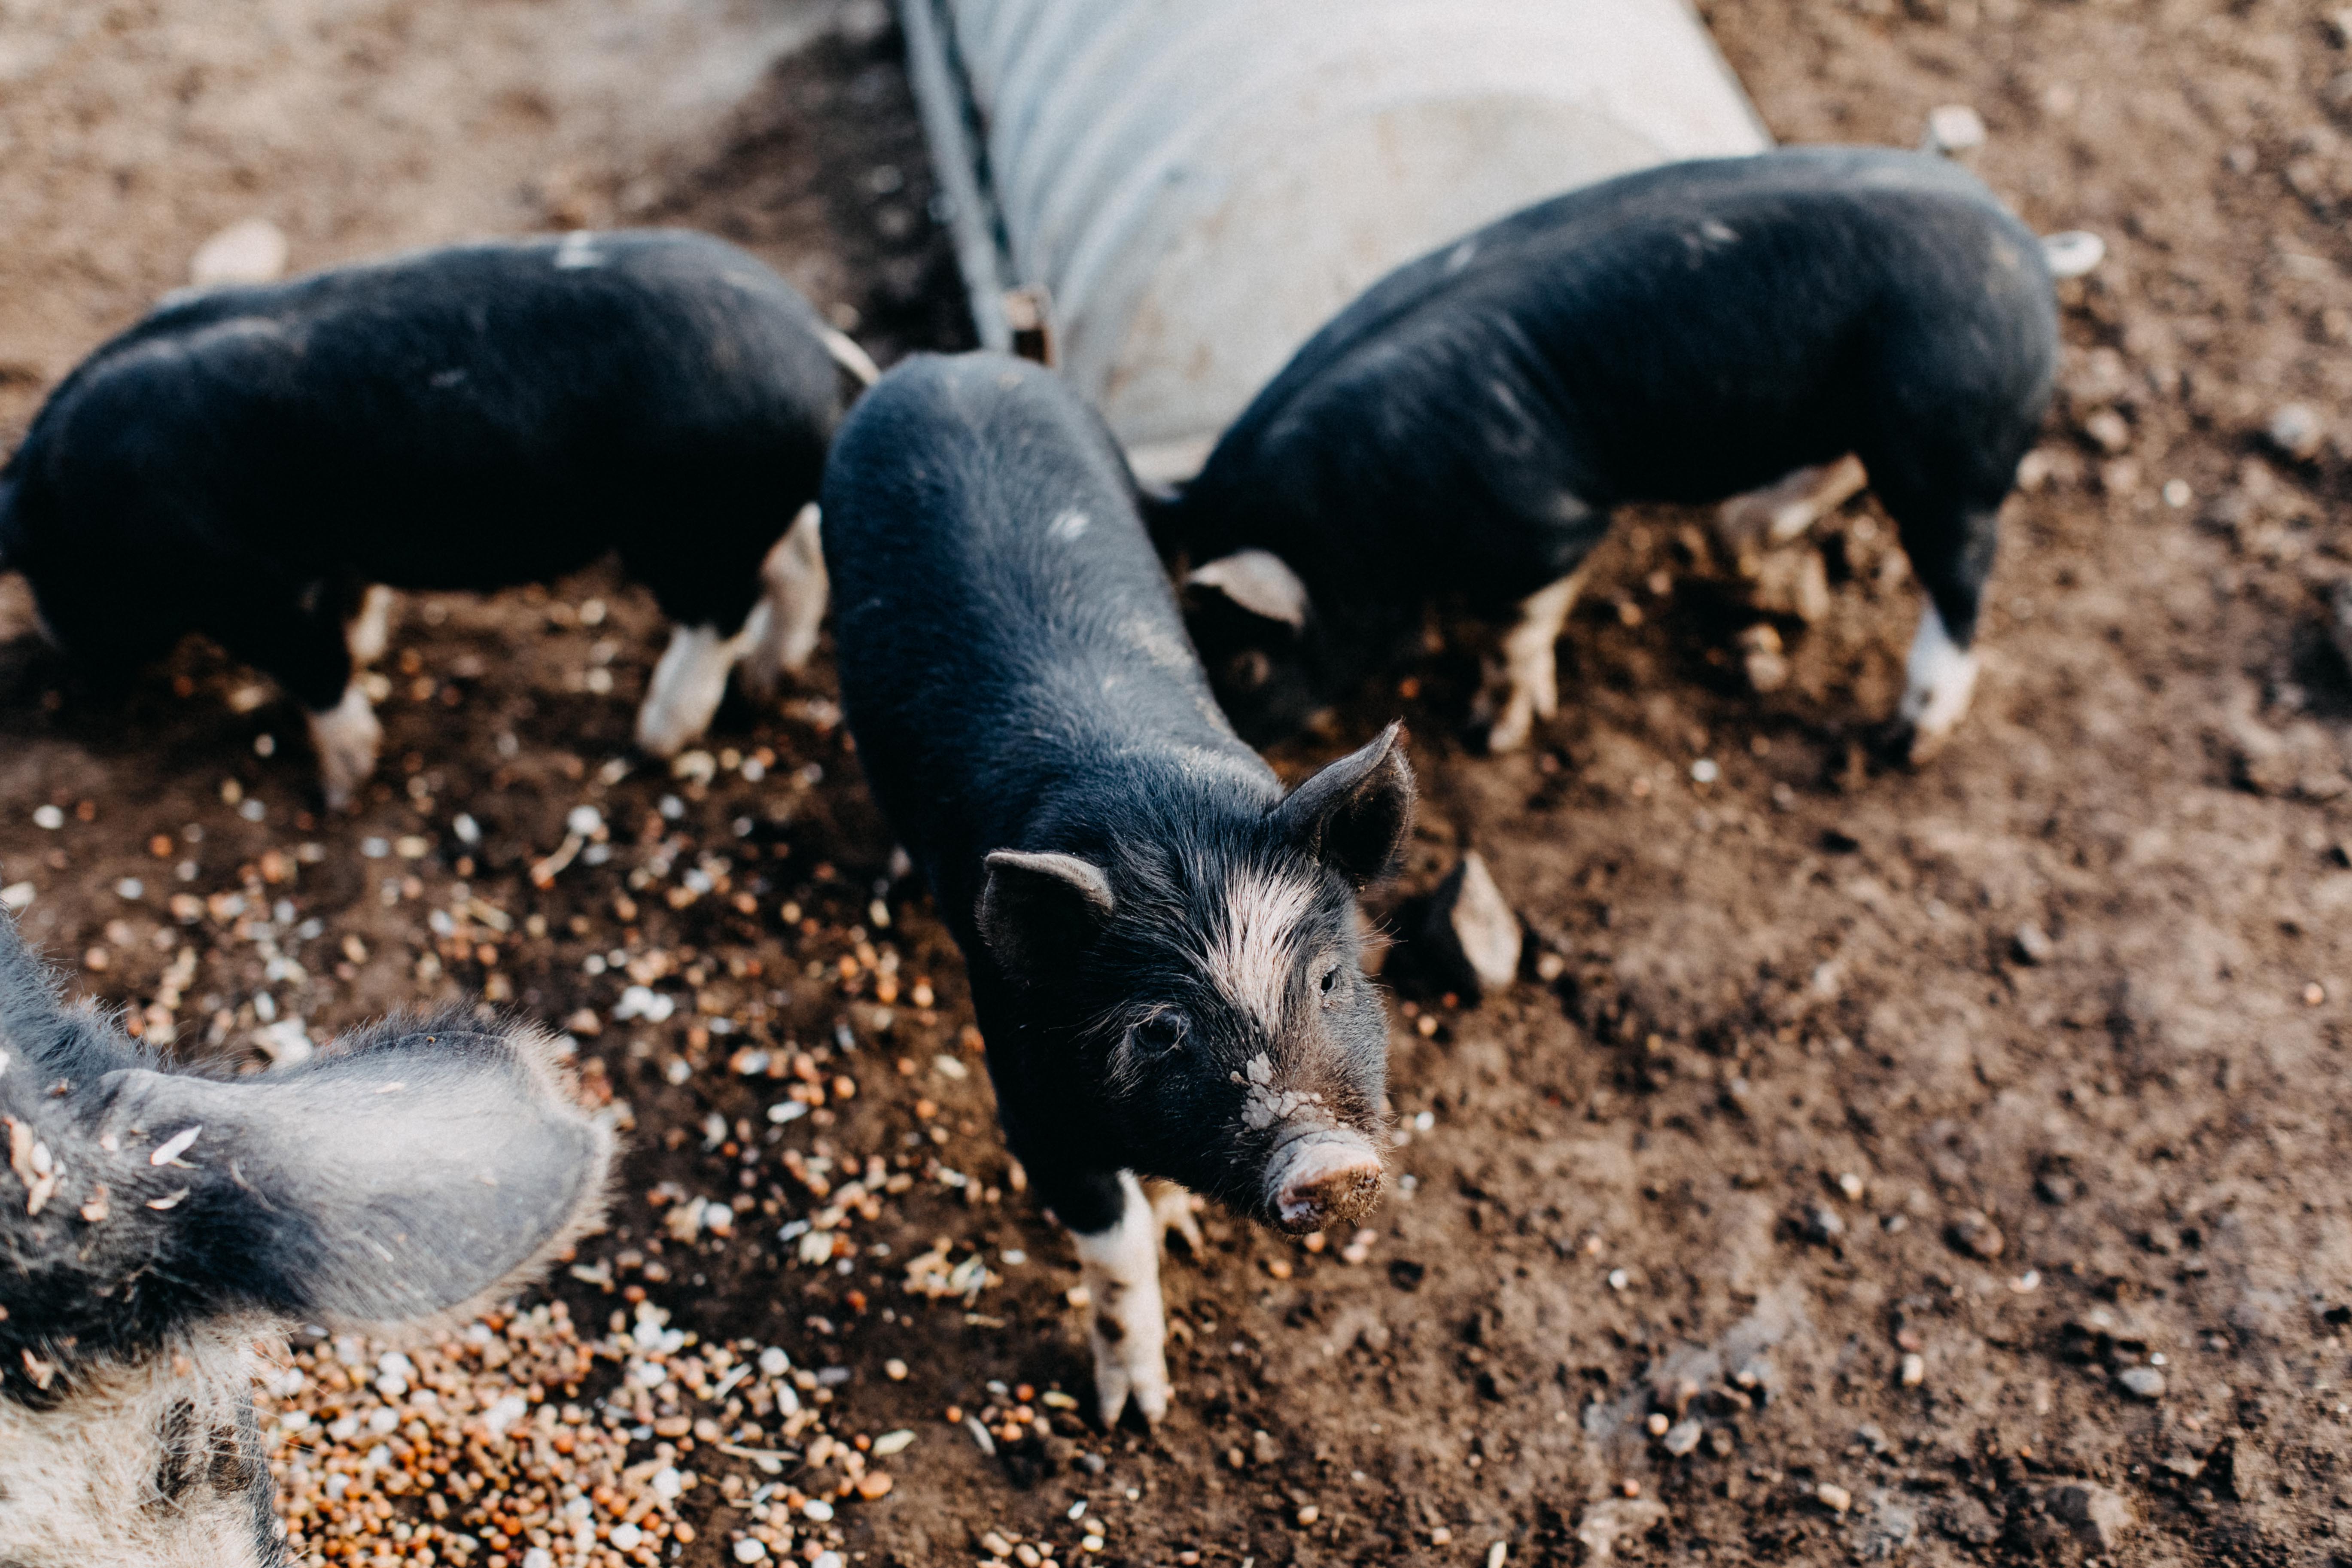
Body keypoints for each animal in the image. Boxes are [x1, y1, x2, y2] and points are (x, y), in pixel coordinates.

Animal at [0, 228, 878, 807]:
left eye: (52, 571)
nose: (62, 648)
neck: (80, 500)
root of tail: (816, 342)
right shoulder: (324, 552)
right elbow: (352, 611)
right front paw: (369, 647)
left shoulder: (244, 587)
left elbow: (316, 666)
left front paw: (340, 791)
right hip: (742, 510)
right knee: (801, 562)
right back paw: (764, 684)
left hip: (688, 525)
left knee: (722, 611)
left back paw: (653, 737)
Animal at [821, 353, 1416, 1425]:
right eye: (1157, 1028)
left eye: (1327, 979)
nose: (1329, 1161)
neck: (1167, 830)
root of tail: (944, 365)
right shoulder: (1024, 1088)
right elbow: (1115, 1242)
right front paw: (1134, 1415)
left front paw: (1182, 1223)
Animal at [1161, 145, 2100, 759]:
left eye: (1245, 662)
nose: (1245, 752)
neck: (1353, 525)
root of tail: (2031, 250)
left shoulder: (1541, 525)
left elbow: (1519, 626)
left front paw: (1493, 733)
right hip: (1867, 412)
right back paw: (1741, 531)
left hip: (1950, 426)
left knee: (1960, 569)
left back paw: (1908, 736)